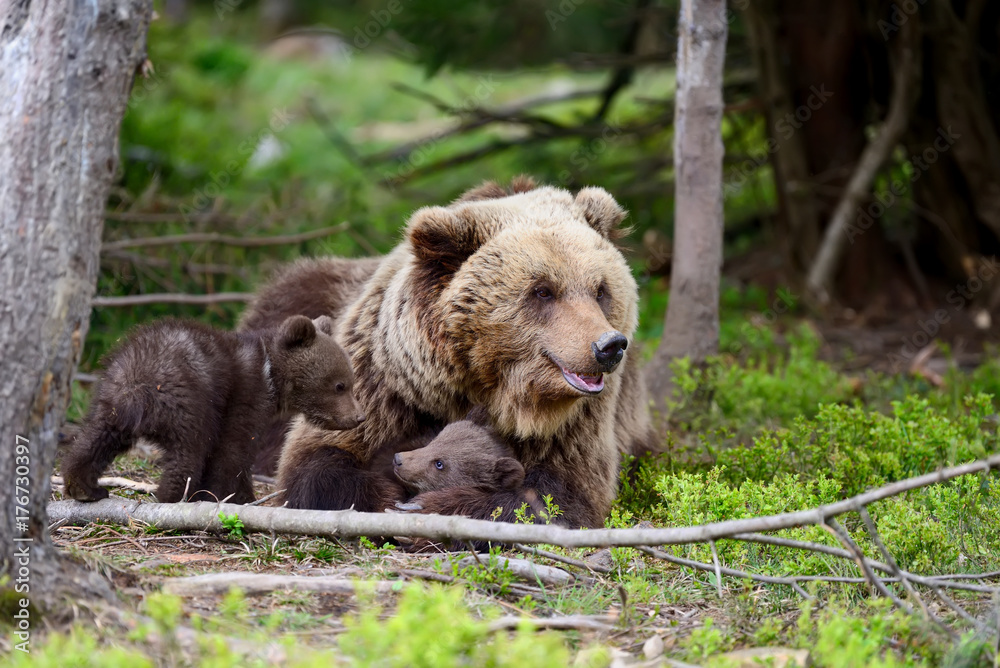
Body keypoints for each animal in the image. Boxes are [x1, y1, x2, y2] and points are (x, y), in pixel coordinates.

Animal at [238, 179, 652, 528]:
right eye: (542, 290)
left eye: (600, 289)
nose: (608, 345)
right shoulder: (382, 382)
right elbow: (318, 465)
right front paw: (386, 495)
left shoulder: (578, 424)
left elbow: (558, 495)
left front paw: (438, 503)